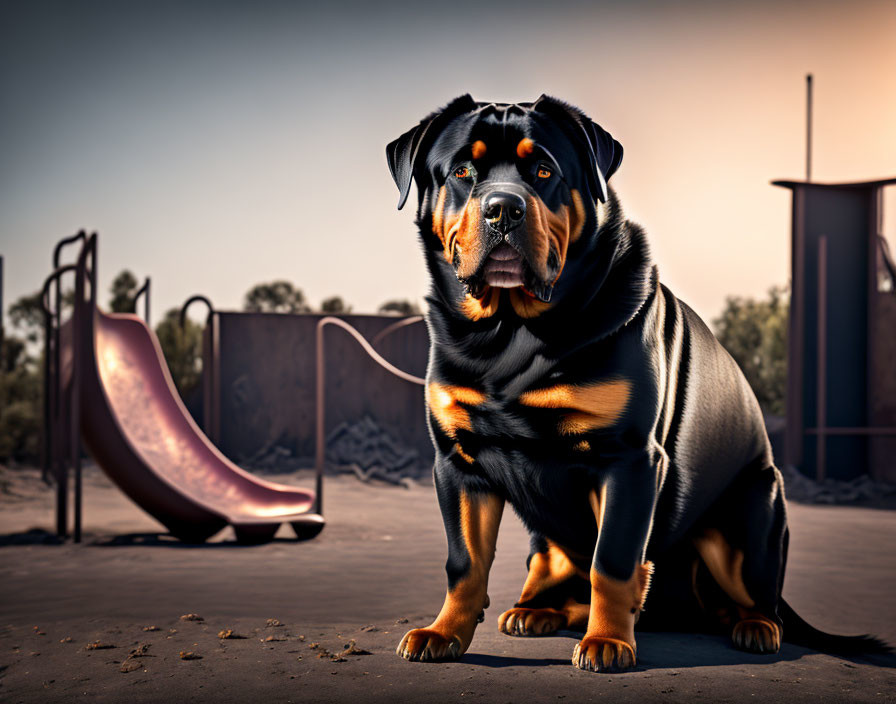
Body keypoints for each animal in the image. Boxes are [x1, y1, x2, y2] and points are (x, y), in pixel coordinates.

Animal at [382, 95, 884, 672]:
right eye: (463, 172)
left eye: (544, 171)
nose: (503, 208)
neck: (512, 332)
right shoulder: (458, 461)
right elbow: (464, 562)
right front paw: (444, 632)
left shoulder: (629, 457)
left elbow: (615, 561)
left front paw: (607, 642)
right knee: (551, 563)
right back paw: (537, 609)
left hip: (749, 513)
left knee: (757, 594)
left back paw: (753, 626)